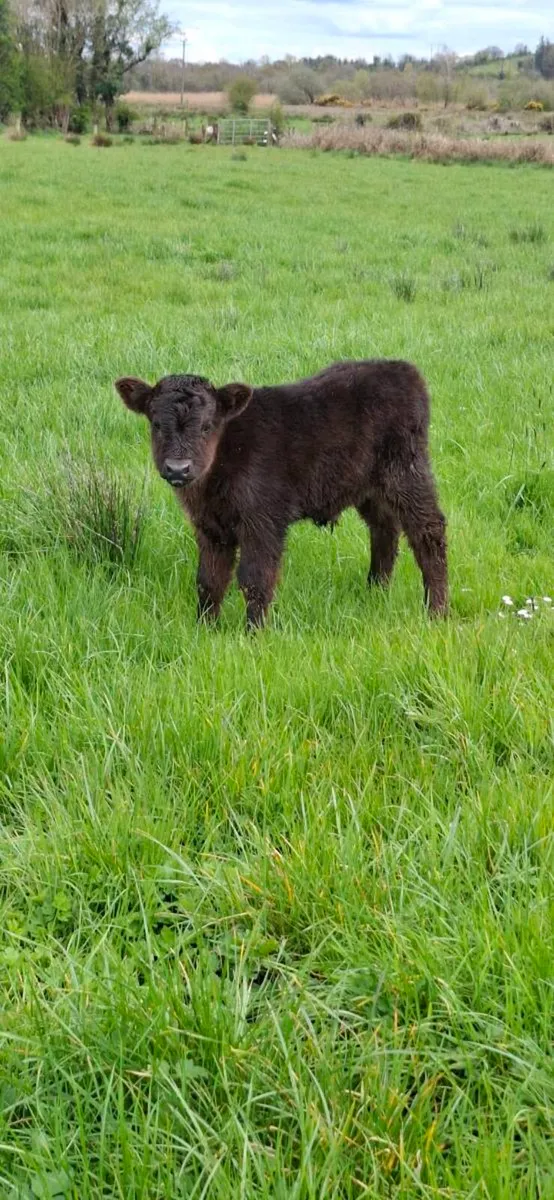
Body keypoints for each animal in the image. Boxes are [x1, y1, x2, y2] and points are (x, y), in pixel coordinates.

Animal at [115, 360, 447, 629]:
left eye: (207, 426)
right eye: (156, 424)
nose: (178, 468)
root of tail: (403, 369)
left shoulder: (263, 521)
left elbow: (255, 579)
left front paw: (253, 634)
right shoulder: (210, 528)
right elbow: (209, 580)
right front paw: (204, 628)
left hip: (406, 471)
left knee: (429, 532)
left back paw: (437, 612)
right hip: (368, 488)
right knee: (384, 529)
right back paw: (375, 591)